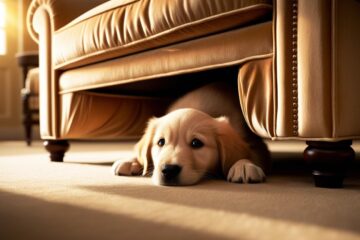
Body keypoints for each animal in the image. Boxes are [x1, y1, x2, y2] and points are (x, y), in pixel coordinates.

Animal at [112, 80, 270, 186]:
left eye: (196, 143)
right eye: (161, 142)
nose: (168, 170)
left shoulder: (255, 143)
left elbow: (248, 153)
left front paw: (243, 165)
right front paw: (131, 160)